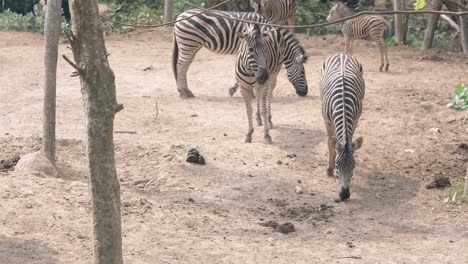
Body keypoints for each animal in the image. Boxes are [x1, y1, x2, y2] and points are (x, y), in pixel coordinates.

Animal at [171, 9, 308, 98]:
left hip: (191, 46)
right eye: (302, 72)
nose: (305, 93)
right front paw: (242, 89)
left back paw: (186, 91)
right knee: (181, 66)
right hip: (189, 43)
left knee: (185, 66)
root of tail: (180, 16)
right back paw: (183, 92)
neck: (267, 29)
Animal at [322, 53, 366, 200]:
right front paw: (329, 169)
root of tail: (342, 54)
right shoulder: (327, 122)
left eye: (354, 166)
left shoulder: (355, 120)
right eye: (337, 165)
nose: (345, 195)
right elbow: (330, 144)